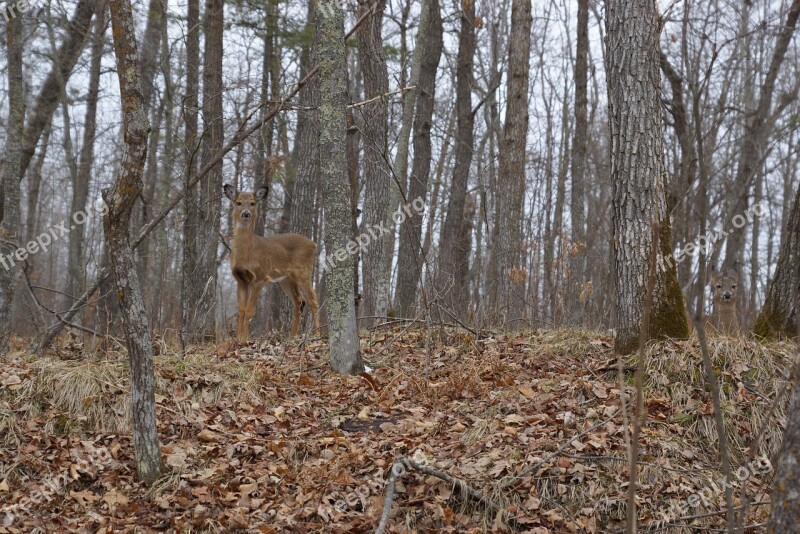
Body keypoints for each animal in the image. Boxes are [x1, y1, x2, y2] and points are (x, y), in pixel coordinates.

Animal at [223, 184, 320, 344]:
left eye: (252, 203)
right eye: (238, 202)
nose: (246, 214)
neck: (247, 253)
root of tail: (313, 244)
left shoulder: (259, 276)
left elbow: (249, 310)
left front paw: (245, 340)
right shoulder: (240, 279)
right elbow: (241, 310)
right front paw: (237, 339)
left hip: (304, 271)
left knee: (313, 300)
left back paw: (316, 334)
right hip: (286, 279)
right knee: (299, 302)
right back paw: (292, 336)